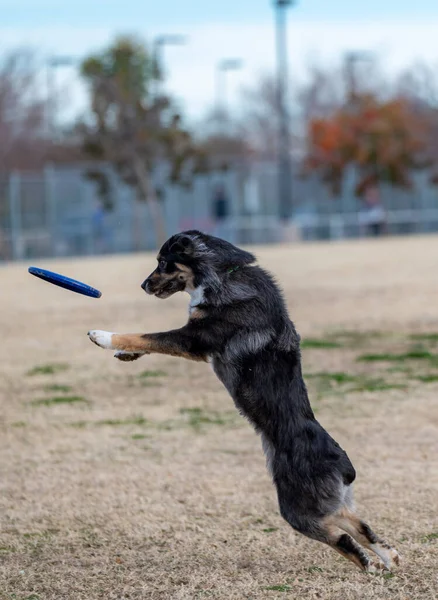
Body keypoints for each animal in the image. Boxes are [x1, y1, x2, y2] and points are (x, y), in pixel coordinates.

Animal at [89, 230, 400, 572]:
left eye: (162, 263)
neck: (224, 273)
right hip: (326, 503)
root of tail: (343, 465)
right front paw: (123, 354)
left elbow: (148, 336)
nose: (143, 285)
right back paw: (389, 559)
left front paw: (103, 336)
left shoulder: (195, 338)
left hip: (297, 508)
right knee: (358, 524)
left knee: (343, 539)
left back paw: (369, 566)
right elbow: (148, 342)